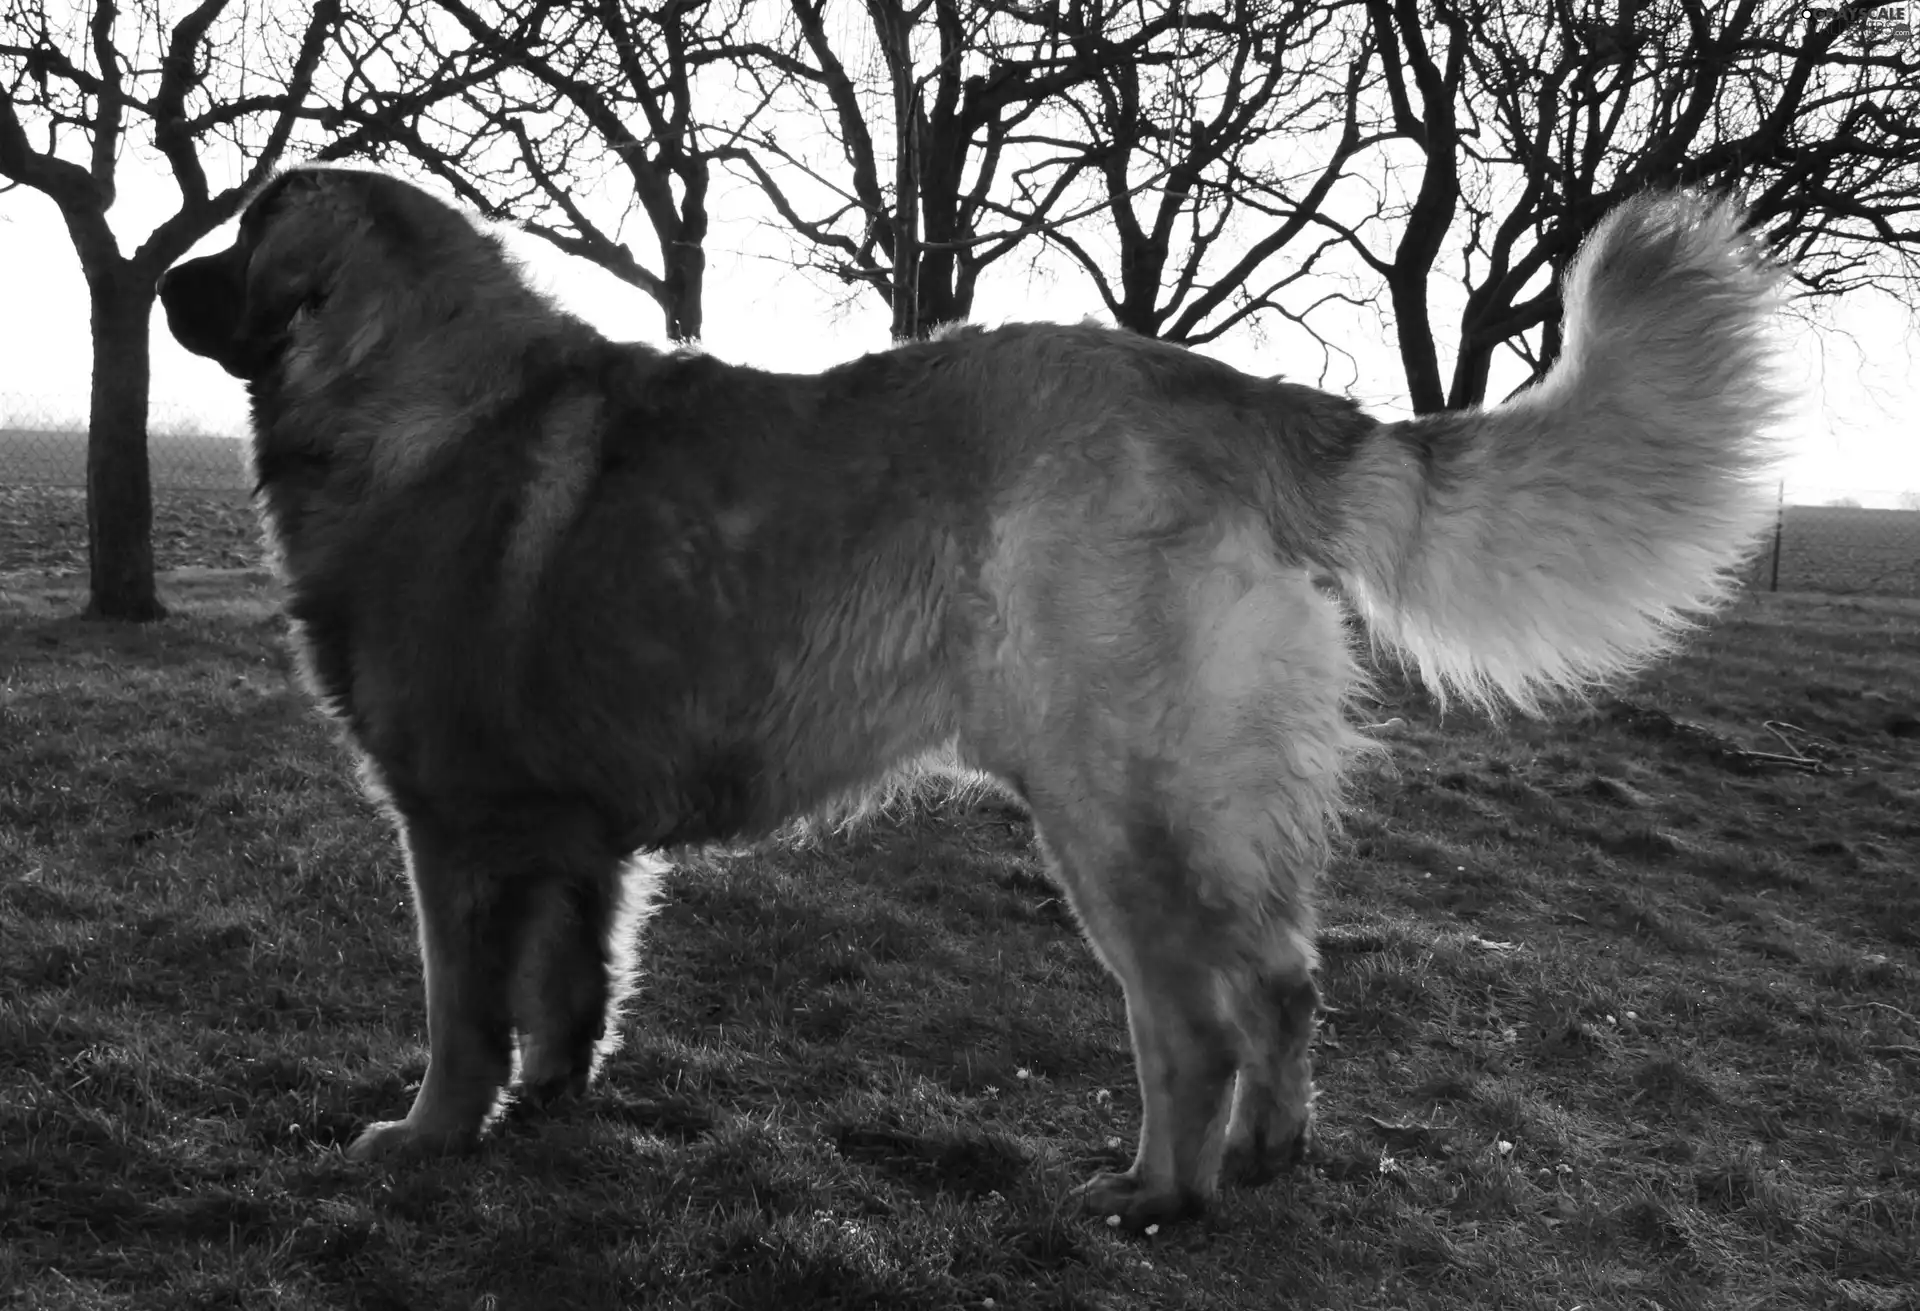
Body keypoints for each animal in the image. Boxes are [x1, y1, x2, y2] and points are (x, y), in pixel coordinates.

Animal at [157, 166, 1789, 1228]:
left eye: (247, 231)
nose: (163, 271)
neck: (416, 399)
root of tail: (1242, 398)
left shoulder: (455, 826)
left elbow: (461, 1012)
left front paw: (423, 1137)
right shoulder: (570, 838)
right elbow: (571, 992)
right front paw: (548, 1111)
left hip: (1112, 800)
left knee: (1196, 1014)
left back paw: (1158, 1196)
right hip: (1174, 806)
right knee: (1277, 976)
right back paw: (1253, 1162)